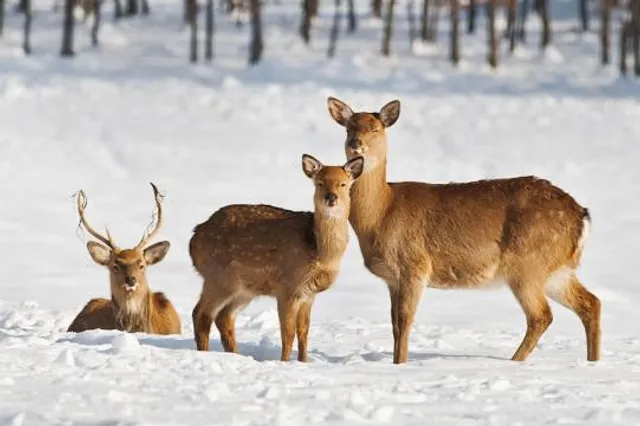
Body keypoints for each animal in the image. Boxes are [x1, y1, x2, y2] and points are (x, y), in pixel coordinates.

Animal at [189, 154, 364, 361]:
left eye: (343, 184)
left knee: (223, 317)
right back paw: (206, 354)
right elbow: (287, 332)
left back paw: (235, 355)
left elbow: (304, 331)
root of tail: (194, 239)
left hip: (244, 289)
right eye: (319, 183)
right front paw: (285, 363)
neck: (319, 252)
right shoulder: (287, 286)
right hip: (219, 277)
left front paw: (304, 362)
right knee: (201, 313)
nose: (331, 197)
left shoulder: (309, 293)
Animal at [326, 97, 601, 364]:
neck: (381, 214)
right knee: (590, 303)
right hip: (556, 269)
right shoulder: (392, 279)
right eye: (348, 127)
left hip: (528, 263)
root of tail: (581, 215)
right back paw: (593, 362)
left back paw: (513, 362)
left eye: (376, 128)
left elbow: (404, 322)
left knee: (541, 315)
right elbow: (394, 324)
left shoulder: (414, 266)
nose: (355, 144)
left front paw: (400, 365)